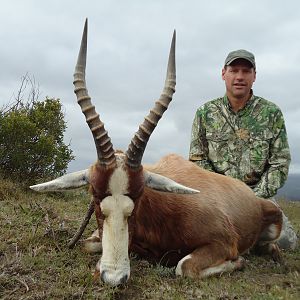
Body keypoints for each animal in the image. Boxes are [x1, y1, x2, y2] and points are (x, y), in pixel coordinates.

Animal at [29, 19, 282, 288]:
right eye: (95, 198)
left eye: (138, 199)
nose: (114, 277)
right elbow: (87, 245)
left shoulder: (223, 242)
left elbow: (184, 266)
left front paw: (240, 261)